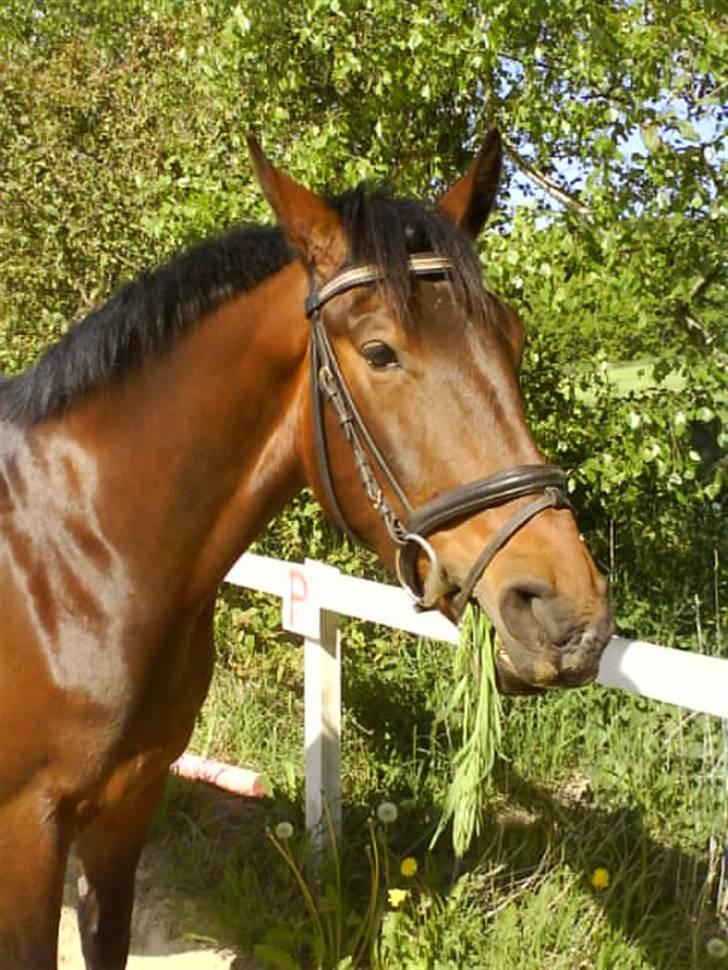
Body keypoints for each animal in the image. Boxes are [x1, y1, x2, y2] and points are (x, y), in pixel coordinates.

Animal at [0, 130, 612, 968]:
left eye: (511, 338)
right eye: (380, 352)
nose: (566, 615)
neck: (72, 560)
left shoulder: (127, 806)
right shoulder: (26, 835)